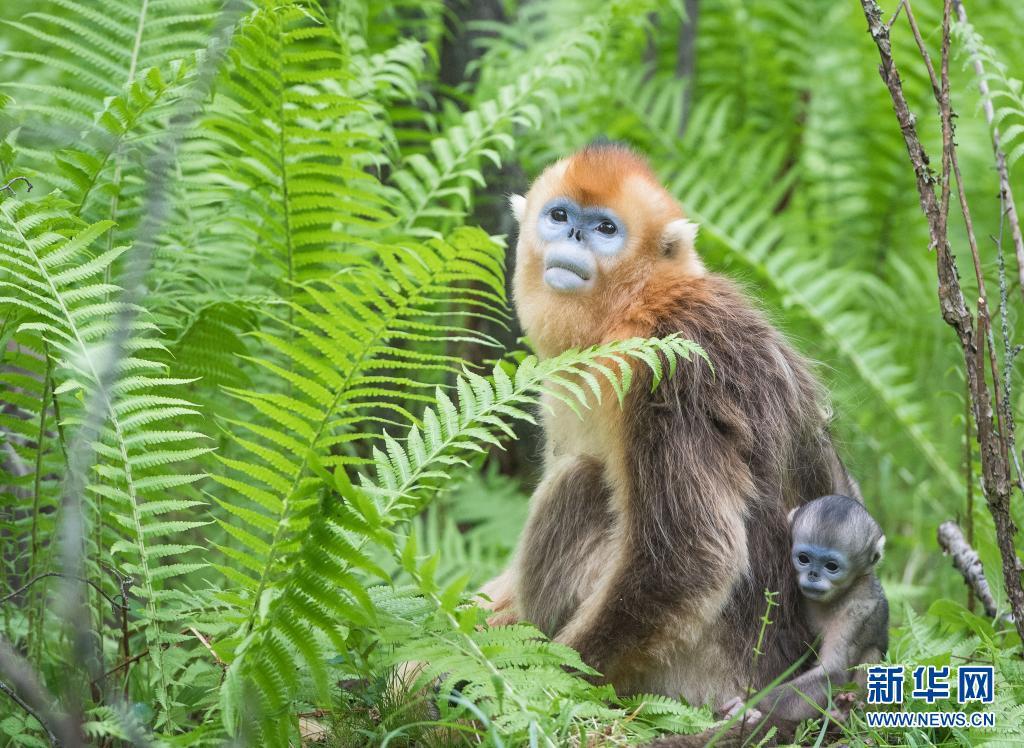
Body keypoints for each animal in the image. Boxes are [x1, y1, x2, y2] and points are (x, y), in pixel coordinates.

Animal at [478, 143, 862, 716]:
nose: (573, 237)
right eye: (561, 216)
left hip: (690, 675)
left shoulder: (667, 367)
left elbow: (689, 559)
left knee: (582, 483)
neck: (636, 305)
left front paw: (543, 682)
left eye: (605, 228)